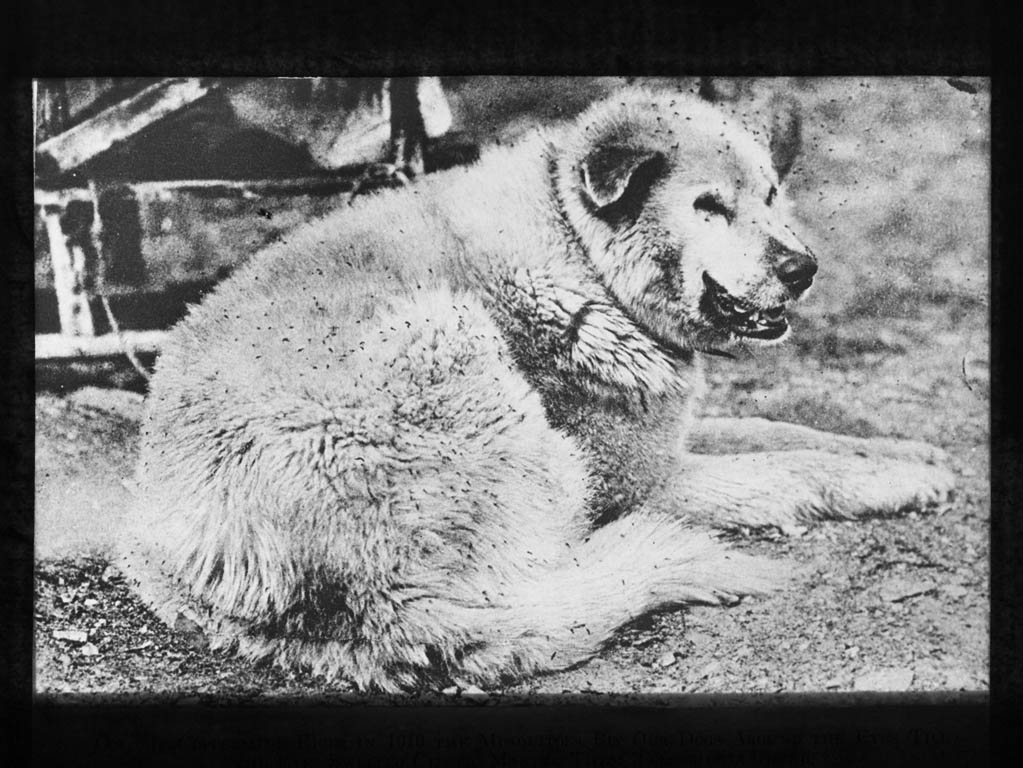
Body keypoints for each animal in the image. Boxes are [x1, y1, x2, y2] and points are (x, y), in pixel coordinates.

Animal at [119, 86, 954, 692]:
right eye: (708, 207)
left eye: (772, 194)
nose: (802, 269)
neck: (579, 253)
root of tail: (375, 610)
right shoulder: (641, 477)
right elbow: (785, 468)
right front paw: (895, 480)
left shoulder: (661, 435)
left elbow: (793, 434)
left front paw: (907, 453)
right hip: (454, 348)